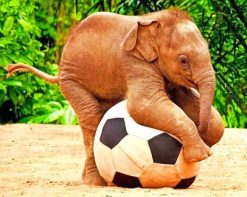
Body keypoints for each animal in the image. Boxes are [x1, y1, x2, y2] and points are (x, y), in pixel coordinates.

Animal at [7, 8, 224, 185]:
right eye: (183, 60)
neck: (155, 21)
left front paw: (205, 140)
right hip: (72, 81)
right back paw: (96, 183)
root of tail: (59, 72)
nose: (199, 127)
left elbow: (196, 107)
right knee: (91, 116)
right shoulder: (133, 62)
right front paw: (202, 154)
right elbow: (143, 105)